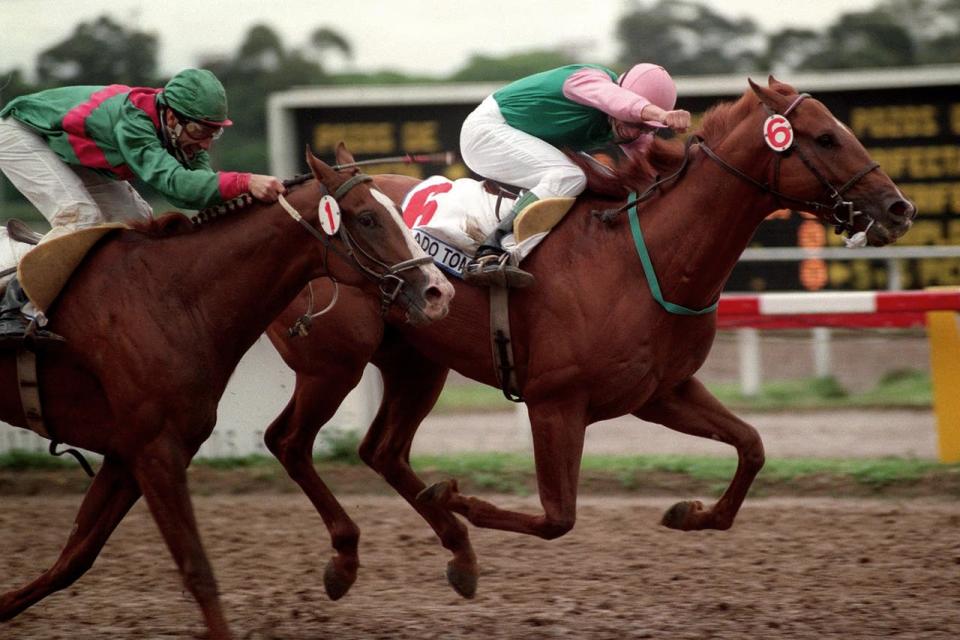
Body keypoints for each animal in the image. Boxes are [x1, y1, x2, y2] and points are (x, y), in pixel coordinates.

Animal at [0, 145, 454, 640]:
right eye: (368, 218)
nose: (439, 292)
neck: (170, 299)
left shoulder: (130, 455)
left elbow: (75, 555)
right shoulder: (156, 452)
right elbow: (197, 569)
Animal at [262, 79, 916, 600]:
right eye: (826, 139)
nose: (899, 208)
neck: (643, 256)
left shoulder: (662, 392)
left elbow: (752, 446)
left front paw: (690, 512)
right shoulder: (556, 402)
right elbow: (558, 518)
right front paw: (454, 497)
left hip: (417, 362)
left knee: (382, 451)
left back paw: (458, 553)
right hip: (334, 364)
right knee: (289, 442)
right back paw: (350, 555)